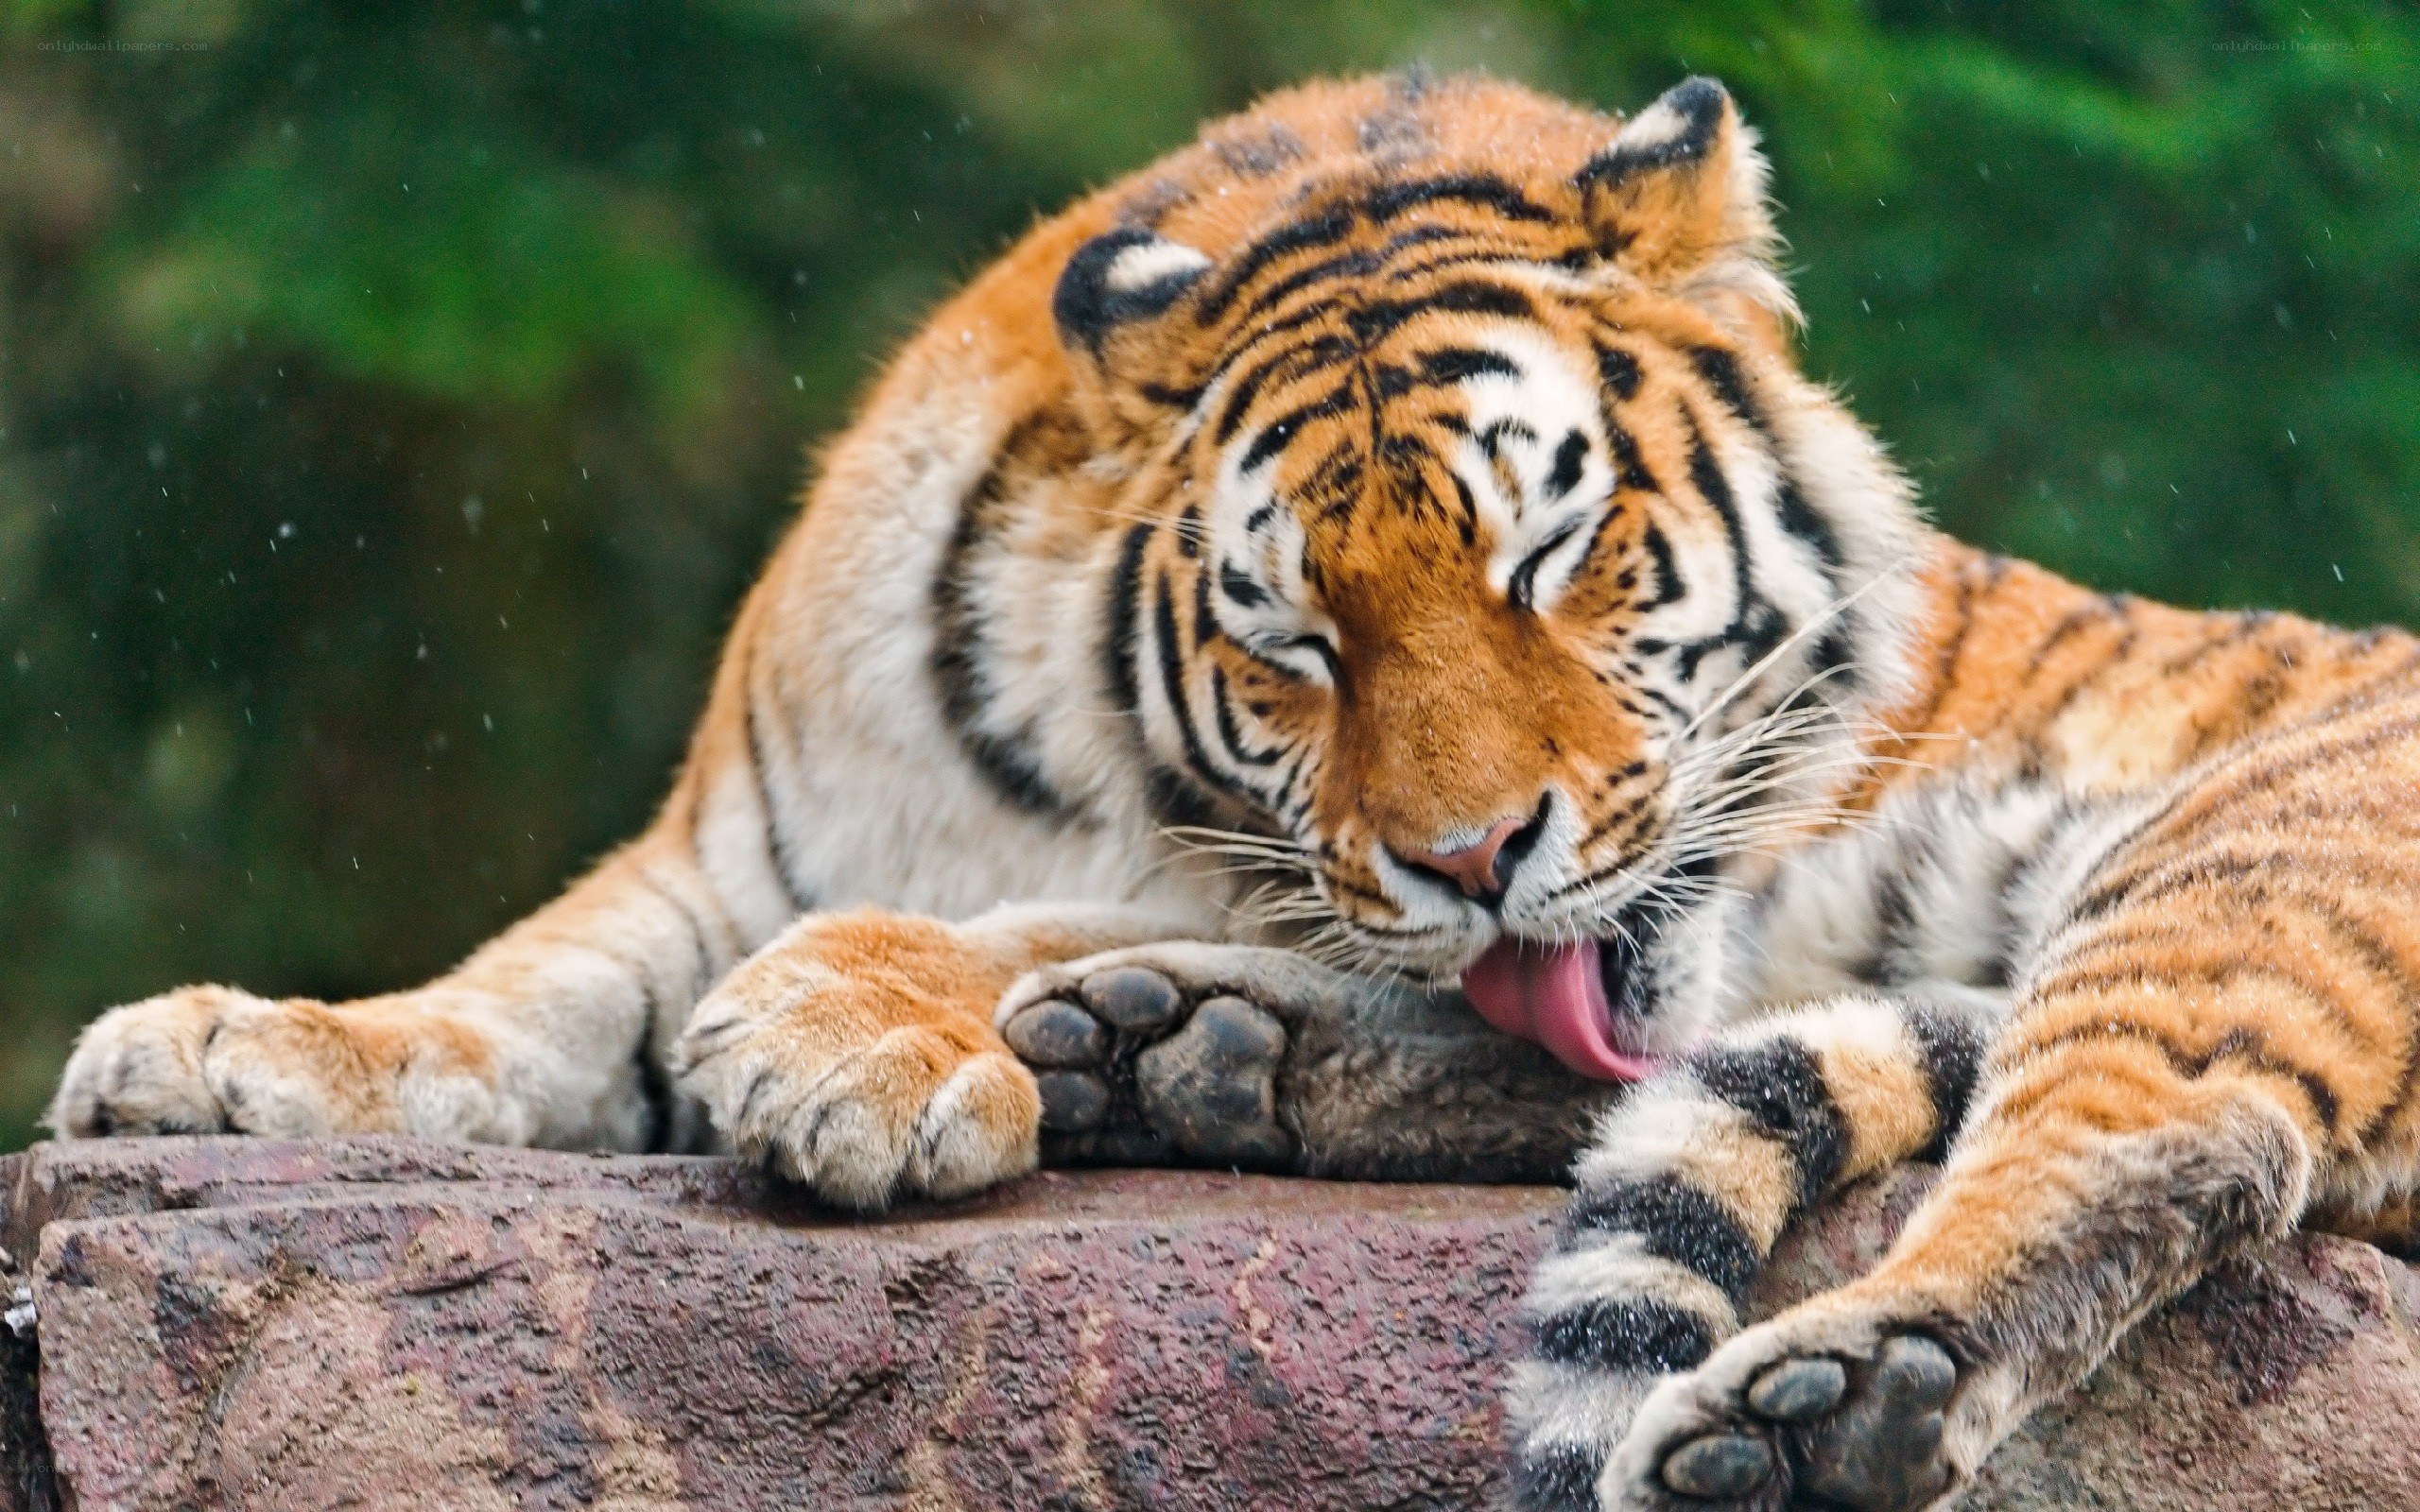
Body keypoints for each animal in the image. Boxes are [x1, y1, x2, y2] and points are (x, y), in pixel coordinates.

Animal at [45, 69, 2420, 1511]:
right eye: (1298, 638)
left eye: (1551, 552)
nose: (1474, 857)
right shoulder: (715, 846)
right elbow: (510, 992)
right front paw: (227, 1048)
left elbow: (983, 918)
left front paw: (845, 1045)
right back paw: (1176, 1054)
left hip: (2238, 847)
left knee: (2167, 1126)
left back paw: (1825, 1394)